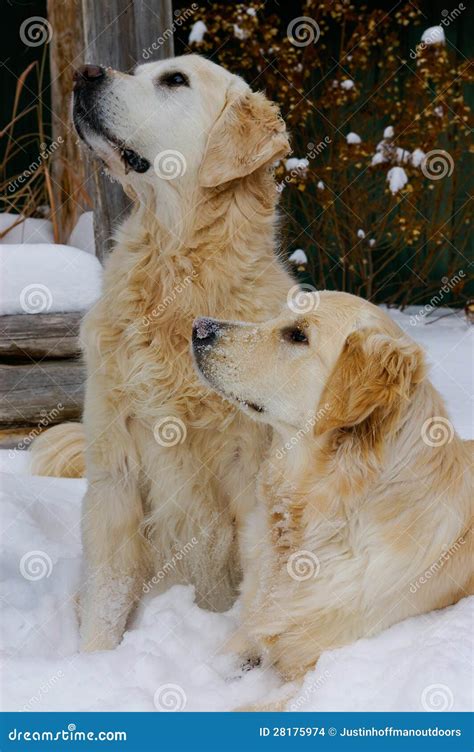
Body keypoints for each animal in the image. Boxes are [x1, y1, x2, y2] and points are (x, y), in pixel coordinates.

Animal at [30, 54, 292, 652]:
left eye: (175, 80)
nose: (84, 73)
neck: (176, 273)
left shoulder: (250, 479)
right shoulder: (116, 476)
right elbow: (106, 599)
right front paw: (92, 663)